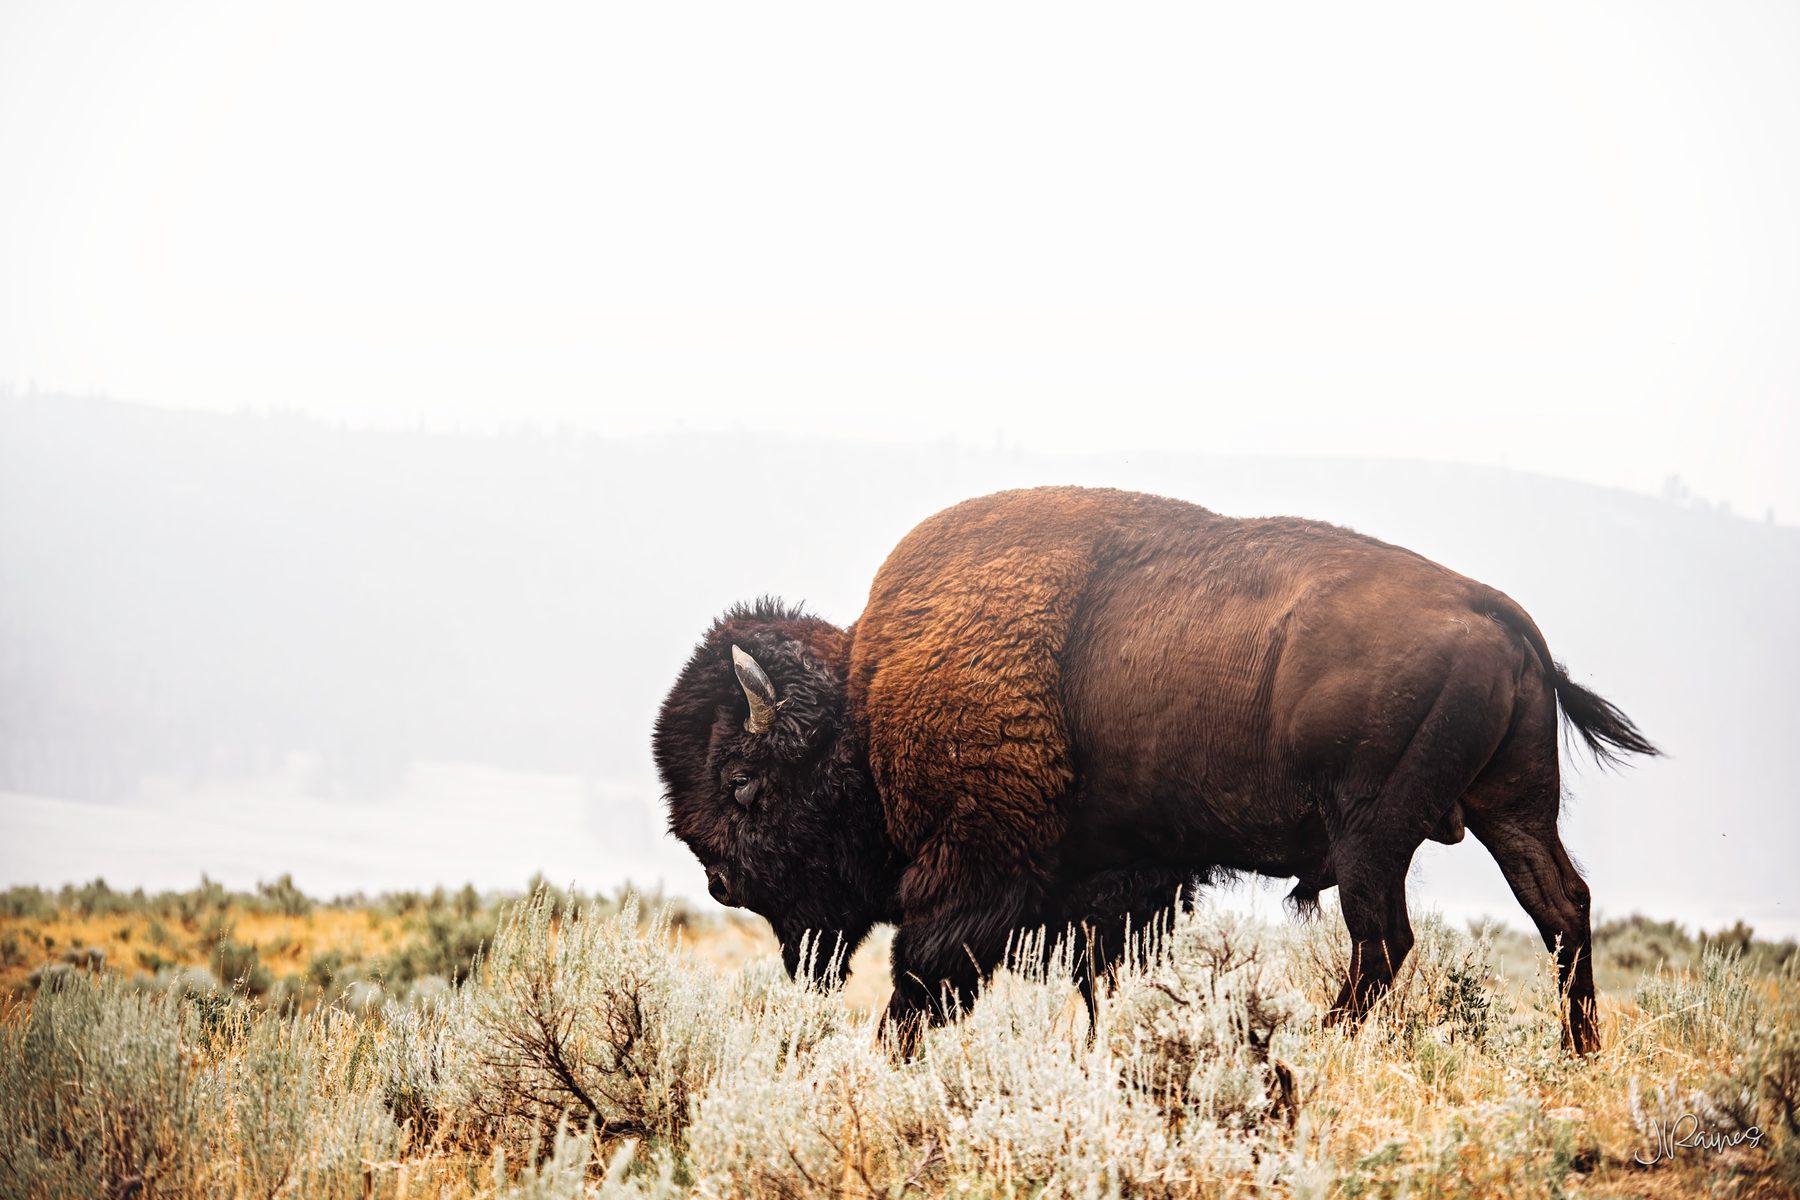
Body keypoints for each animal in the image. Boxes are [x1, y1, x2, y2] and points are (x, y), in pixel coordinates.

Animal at [653, 486, 1656, 1053]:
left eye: (743, 784)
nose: (721, 882)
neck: (865, 697)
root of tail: (1503, 617)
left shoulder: (976, 869)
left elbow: (925, 971)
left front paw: (887, 1057)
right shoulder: (1126, 882)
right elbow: (1104, 975)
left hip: (1374, 830)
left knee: (1386, 941)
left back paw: (1326, 1042)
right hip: (1512, 810)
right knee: (1561, 908)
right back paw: (1581, 1051)